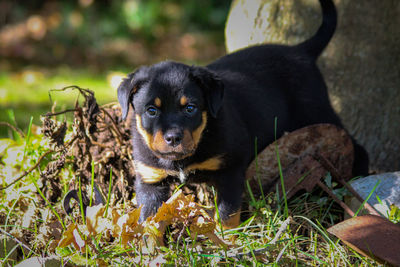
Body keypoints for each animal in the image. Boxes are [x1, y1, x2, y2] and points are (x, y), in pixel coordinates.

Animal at [117, 0, 368, 227]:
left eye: (190, 108)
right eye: (151, 110)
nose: (173, 138)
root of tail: (300, 51)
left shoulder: (231, 168)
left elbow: (227, 214)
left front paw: (226, 241)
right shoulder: (150, 178)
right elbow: (150, 221)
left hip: (316, 112)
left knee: (356, 144)